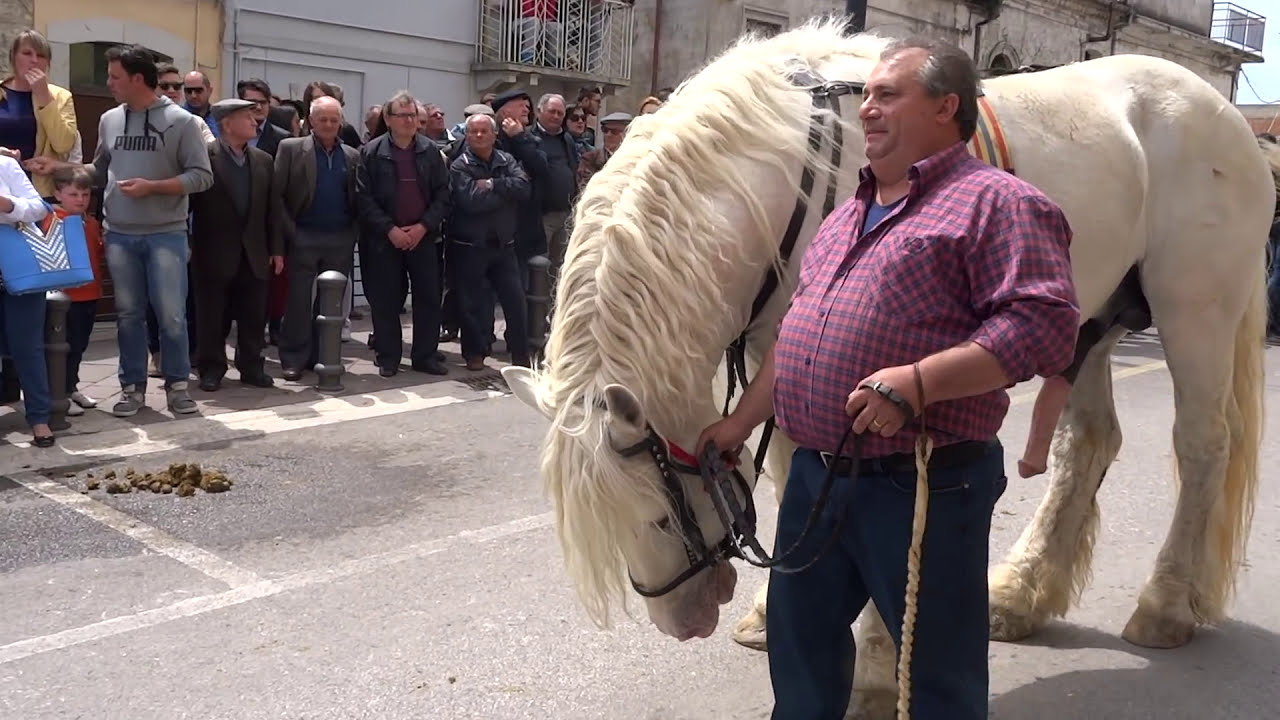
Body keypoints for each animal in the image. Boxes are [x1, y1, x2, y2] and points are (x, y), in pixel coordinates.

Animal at [499, 16, 1269, 717]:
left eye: (660, 519)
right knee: (1089, 445)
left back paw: (1166, 603)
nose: (681, 623)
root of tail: (1226, 116)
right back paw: (1023, 592)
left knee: (1203, 444)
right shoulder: (781, 354)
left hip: (1196, 308)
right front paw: (777, 614)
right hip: (1087, 323)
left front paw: (871, 671)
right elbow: (798, 475)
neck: (780, 180)